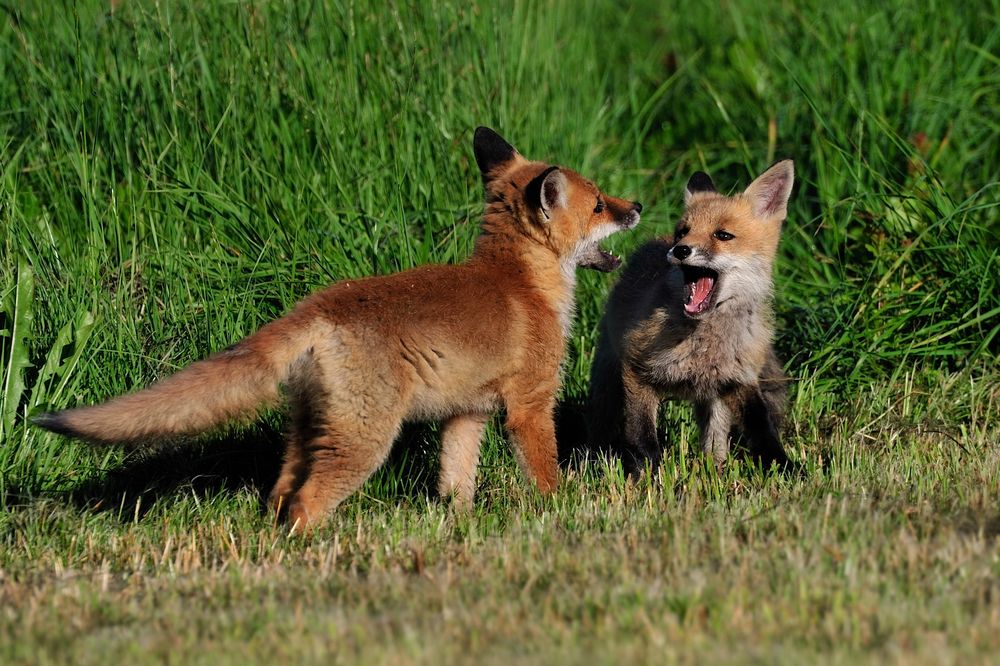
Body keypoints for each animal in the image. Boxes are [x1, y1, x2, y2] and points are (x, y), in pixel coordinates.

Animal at [588, 160, 792, 472]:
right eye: (683, 232)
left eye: (723, 235)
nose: (681, 249)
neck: (703, 345)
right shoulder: (635, 370)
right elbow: (643, 438)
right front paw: (651, 476)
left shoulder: (739, 378)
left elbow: (762, 428)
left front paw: (790, 469)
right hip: (607, 375)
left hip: (714, 395)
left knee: (714, 437)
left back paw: (715, 468)